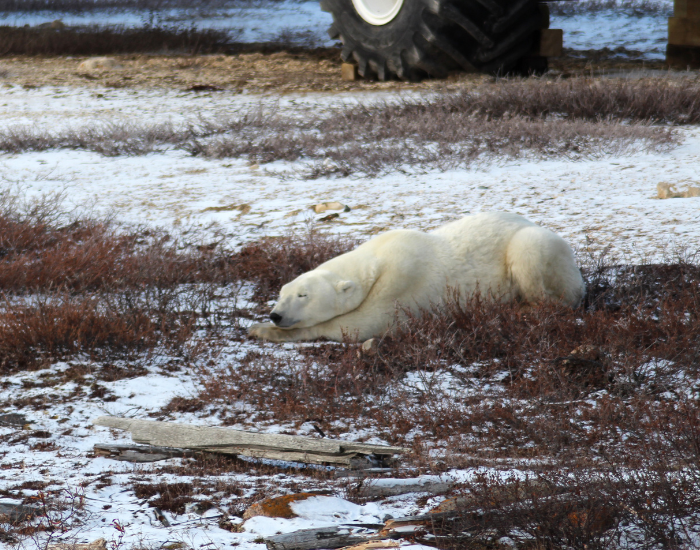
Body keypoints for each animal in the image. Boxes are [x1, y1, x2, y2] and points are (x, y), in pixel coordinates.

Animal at [248, 212, 585, 343]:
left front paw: (261, 329)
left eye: (302, 295)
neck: (378, 258)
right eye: (281, 293)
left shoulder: (402, 280)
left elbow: (360, 325)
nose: (276, 314)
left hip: (536, 247)